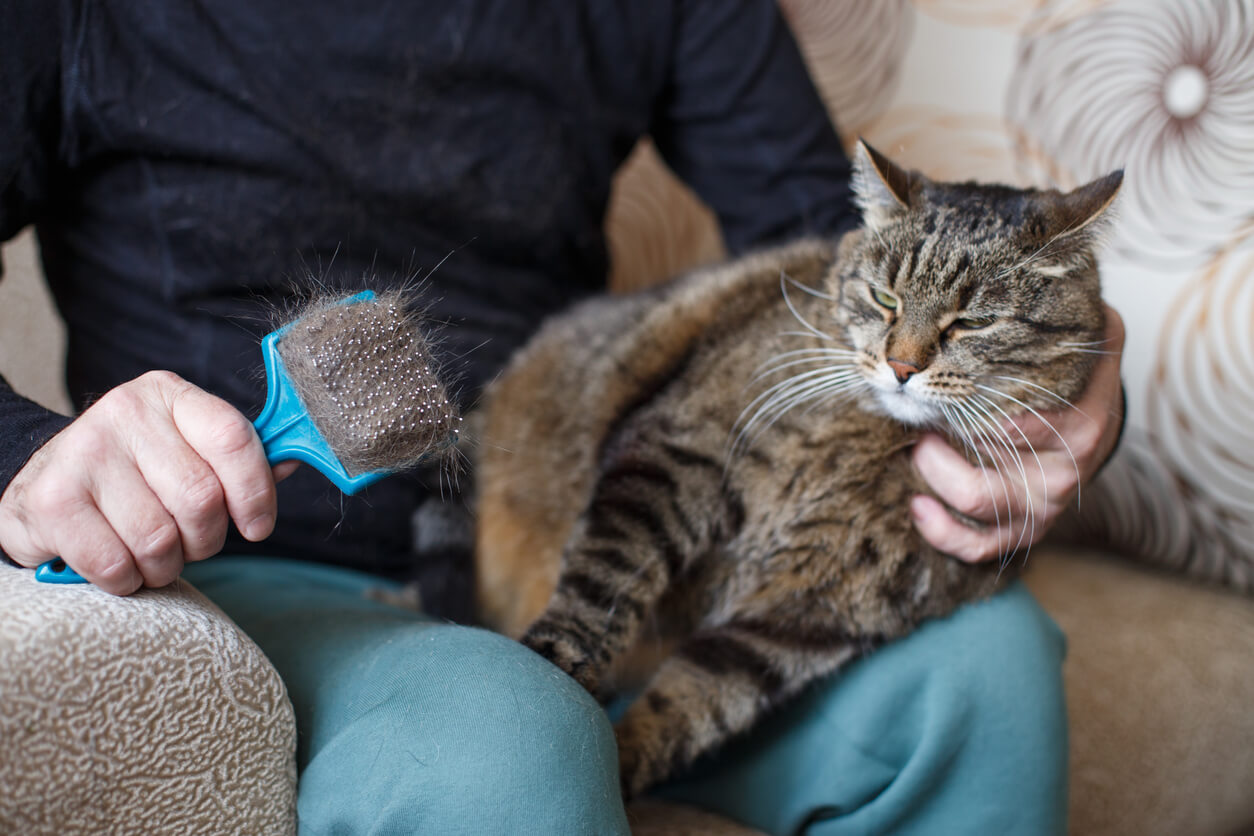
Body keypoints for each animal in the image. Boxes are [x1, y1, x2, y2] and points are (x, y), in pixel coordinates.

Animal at [468, 139, 1118, 797]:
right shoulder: (678, 453)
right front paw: (556, 660)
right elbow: (605, 581)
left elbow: (697, 701)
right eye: (886, 299)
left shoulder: (805, 618)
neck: (873, 447)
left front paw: (622, 765)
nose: (902, 367)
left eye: (974, 321)